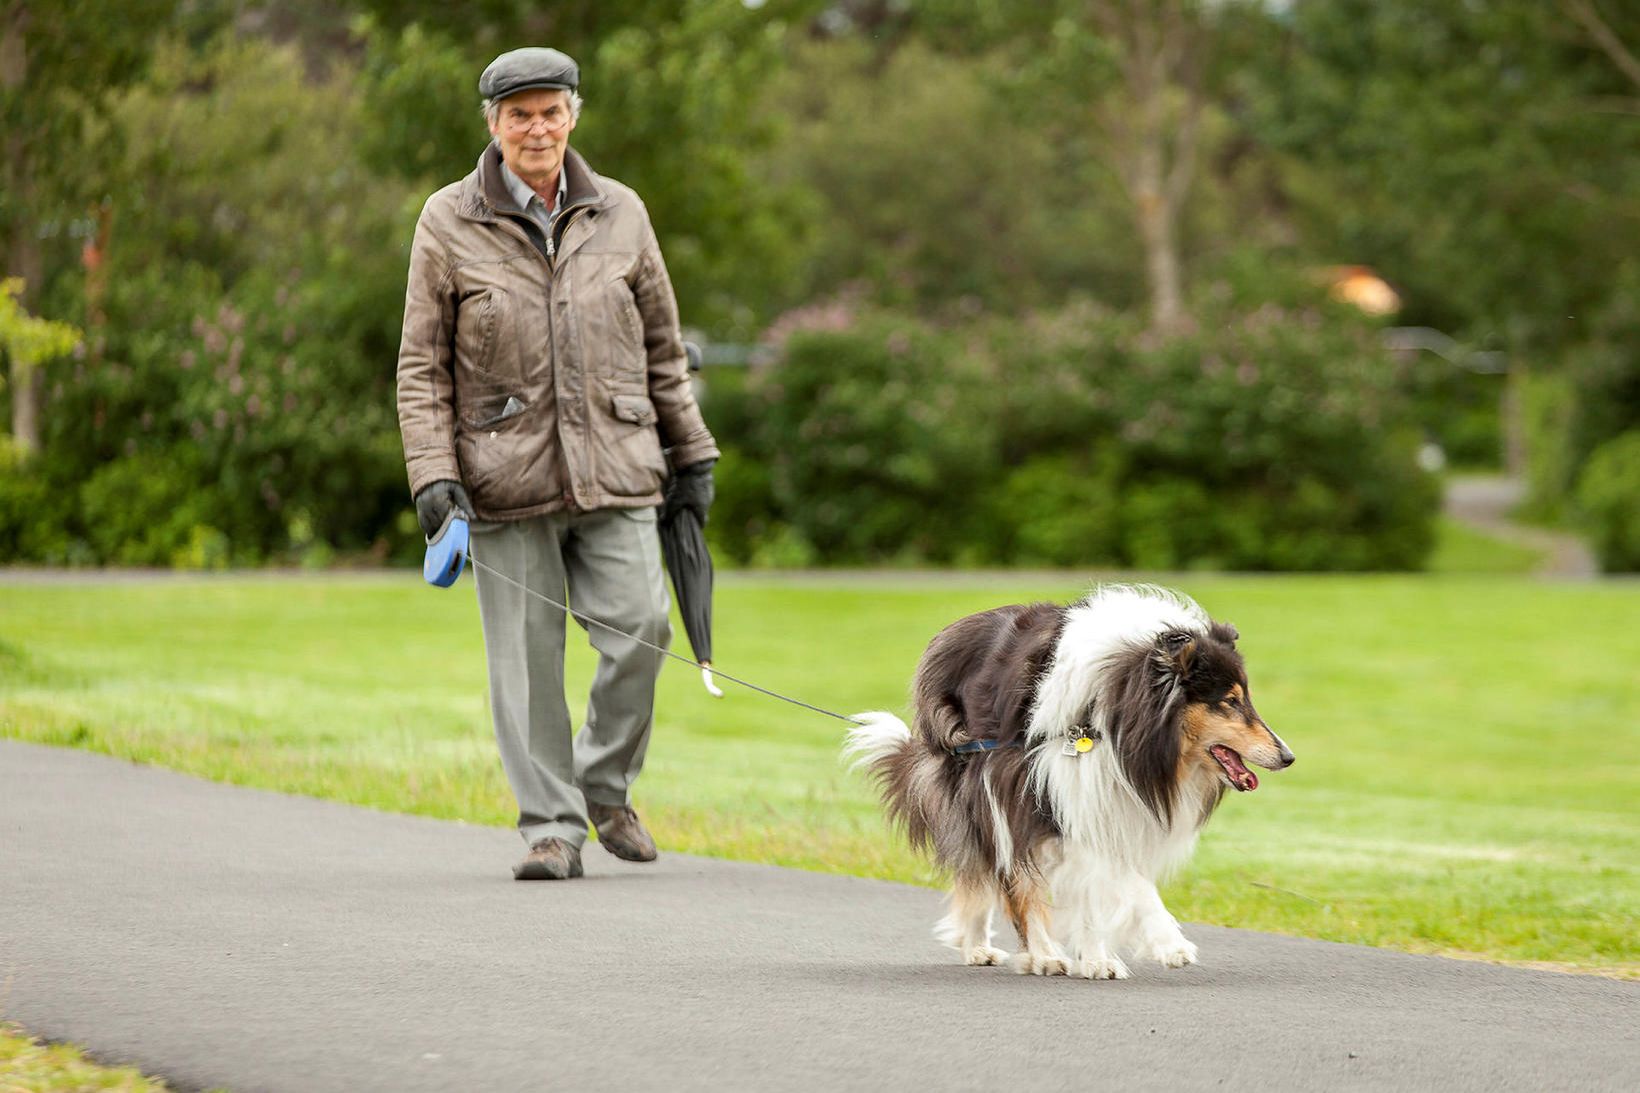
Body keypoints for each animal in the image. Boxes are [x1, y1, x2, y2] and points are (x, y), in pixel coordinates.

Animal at [846, 584, 1292, 971]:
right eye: (1230, 701)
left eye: (1246, 698)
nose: (1288, 757)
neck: (1112, 719)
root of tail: (949, 634)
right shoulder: (1049, 799)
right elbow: (1120, 878)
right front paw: (1168, 942)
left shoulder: (1109, 801)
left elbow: (1100, 885)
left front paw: (1097, 960)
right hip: (987, 794)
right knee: (1003, 876)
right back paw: (1034, 953)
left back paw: (983, 946)